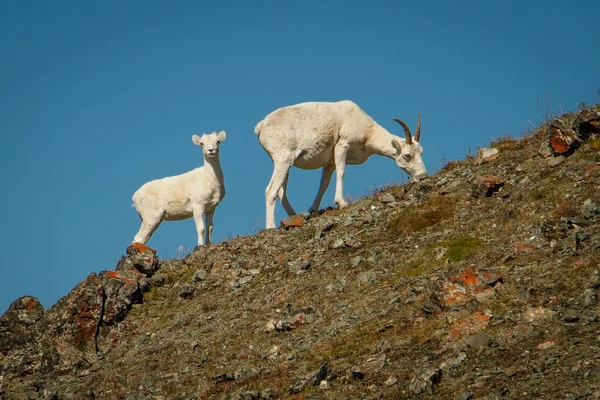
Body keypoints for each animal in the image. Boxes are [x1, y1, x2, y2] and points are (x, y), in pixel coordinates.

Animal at [253, 101, 426, 228]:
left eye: (421, 152)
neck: (368, 133)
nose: (423, 175)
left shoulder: (330, 163)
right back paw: (271, 227)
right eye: (407, 155)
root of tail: (261, 126)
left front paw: (313, 210)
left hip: (285, 165)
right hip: (283, 161)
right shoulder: (342, 146)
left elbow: (324, 184)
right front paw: (341, 203)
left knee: (281, 192)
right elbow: (342, 172)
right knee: (271, 191)